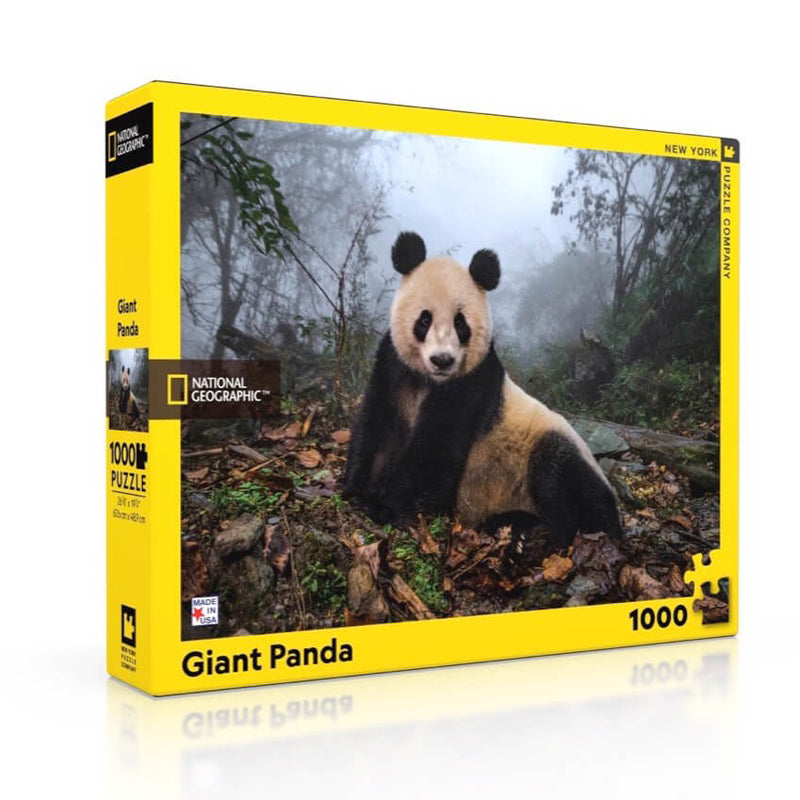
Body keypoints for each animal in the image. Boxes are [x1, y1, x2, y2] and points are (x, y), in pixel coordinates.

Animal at [342, 232, 622, 549]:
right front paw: (356, 490)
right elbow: (376, 424)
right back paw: (512, 525)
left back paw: (554, 535)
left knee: (563, 478)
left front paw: (387, 508)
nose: (442, 360)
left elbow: (435, 451)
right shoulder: (392, 367)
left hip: (553, 449)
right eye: (424, 319)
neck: (430, 380)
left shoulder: (471, 383)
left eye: (460, 322)